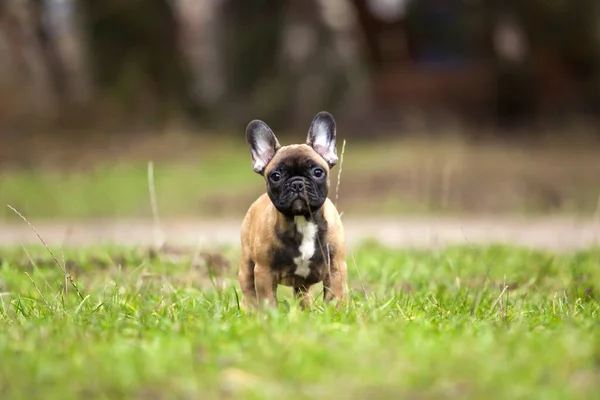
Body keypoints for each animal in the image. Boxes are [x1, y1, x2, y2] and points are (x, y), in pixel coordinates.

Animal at [239, 111, 350, 308]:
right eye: (276, 176)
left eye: (317, 172)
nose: (297, 183)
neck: (302, 220)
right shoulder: (264, 273)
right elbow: (268, 301)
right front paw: (271, 314)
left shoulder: (336, 269)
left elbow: (333, 298)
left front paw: (333, 313)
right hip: (247, 267)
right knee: (248, 294)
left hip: (303, 284)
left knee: (303, 295)